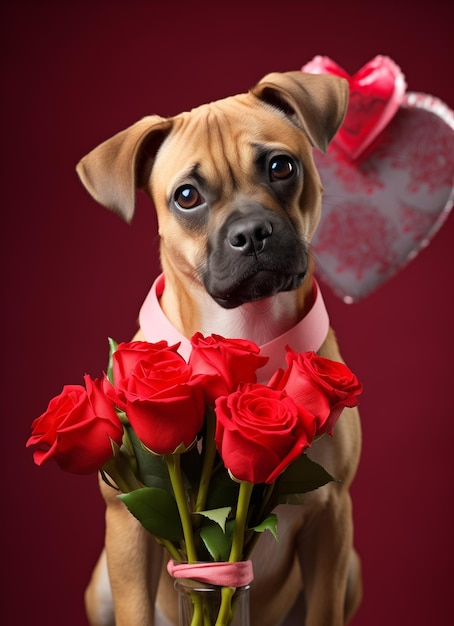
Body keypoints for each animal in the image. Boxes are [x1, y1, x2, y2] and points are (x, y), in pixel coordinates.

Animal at [77, 70, 362, 620]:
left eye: (280, 166)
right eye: (187, 196)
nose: (251, 232)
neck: (245, 329)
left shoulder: (331, 523)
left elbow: (323, 610)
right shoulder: (127, 530)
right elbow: (135, 609)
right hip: (100, 585)